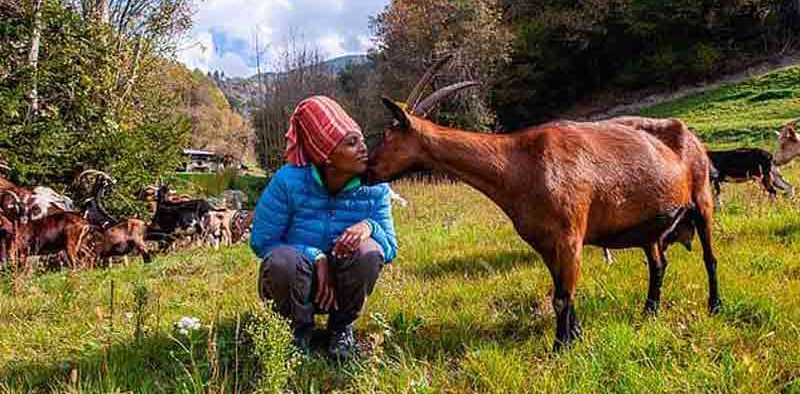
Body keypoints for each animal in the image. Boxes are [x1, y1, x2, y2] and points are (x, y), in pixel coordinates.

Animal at [366, 57, 720, 350]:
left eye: (386, 136)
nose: (367, 171)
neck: (519, 164)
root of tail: (691, 136)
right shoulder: (544, 242)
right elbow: (561, 292)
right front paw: (575, 336)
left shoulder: (570, 235)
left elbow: (563, 296)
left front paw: (561, 348)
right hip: (650, 227)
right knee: (658, 264)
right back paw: (649, 312)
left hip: (702, 200)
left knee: (709, 257)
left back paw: (715, 306)